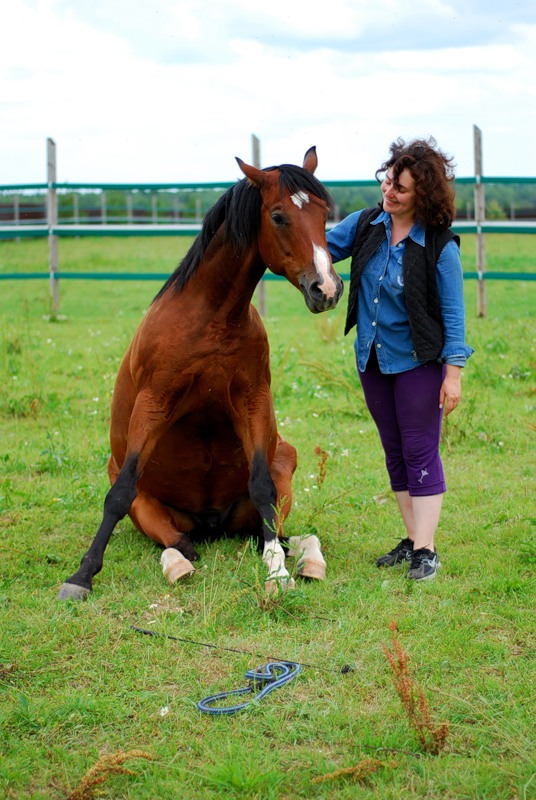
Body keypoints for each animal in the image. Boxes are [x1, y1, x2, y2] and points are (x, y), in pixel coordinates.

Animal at [58, 148, 344, 600]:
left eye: (323, 214)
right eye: (278, 216)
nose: (327, 289)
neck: (211, 319)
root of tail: (212, 523)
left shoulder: (253, 400)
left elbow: (261, 486)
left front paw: (277, 573)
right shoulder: (154, 404)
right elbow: (119, 494)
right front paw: (81, 575)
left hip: (282, 468)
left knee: (278, 533)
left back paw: (304, 560)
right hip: (150, 509)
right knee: (178, 542)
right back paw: (179, 565)